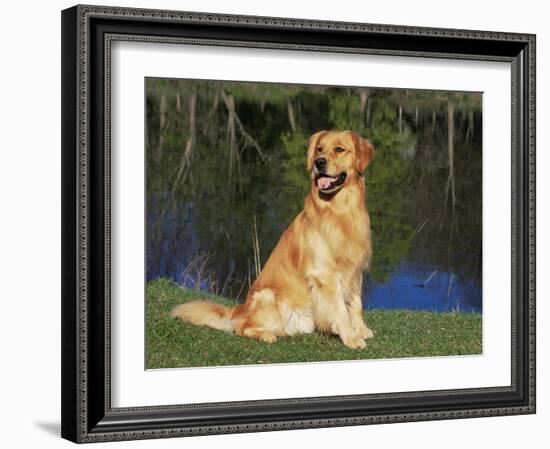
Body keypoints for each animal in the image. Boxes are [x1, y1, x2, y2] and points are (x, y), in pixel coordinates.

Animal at [174, 131, 376, 348]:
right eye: (320, 149)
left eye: (339, 149)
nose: (318, 162)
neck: (340, 211)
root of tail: (241, 308)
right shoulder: (326, 275)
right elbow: (340, 309)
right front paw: (351, 337)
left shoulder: (354, 270)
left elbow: (355, 304)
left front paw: (361, 330)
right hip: (268, 297)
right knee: (241, 328)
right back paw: (267, 335)